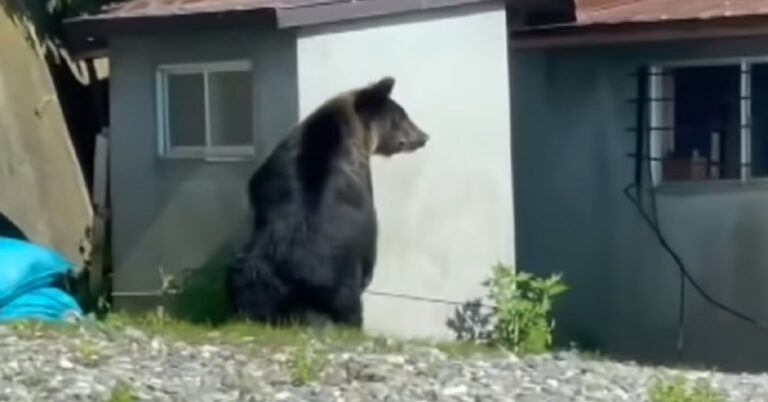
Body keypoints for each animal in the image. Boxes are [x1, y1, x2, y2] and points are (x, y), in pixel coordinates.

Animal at [226, 76, 429, 328]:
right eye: (400, 116)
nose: (424, 137)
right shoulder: (363, 202)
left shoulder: (269, 174)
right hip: (335, 286)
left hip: (253, 273)